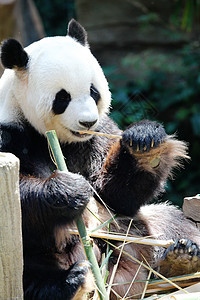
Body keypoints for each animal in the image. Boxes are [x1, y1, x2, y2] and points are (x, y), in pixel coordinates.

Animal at [0, 19, 200, 298]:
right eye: (62, 97)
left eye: (93, 91)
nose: (87, 122)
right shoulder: (9, 133)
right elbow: (19, 198)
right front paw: (69, 189)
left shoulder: (98, 134)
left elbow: (115, 195)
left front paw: (145, 143)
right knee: (26, 269)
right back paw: (71, 282)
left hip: (131, 234)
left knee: (167, 220)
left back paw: (181, 257)